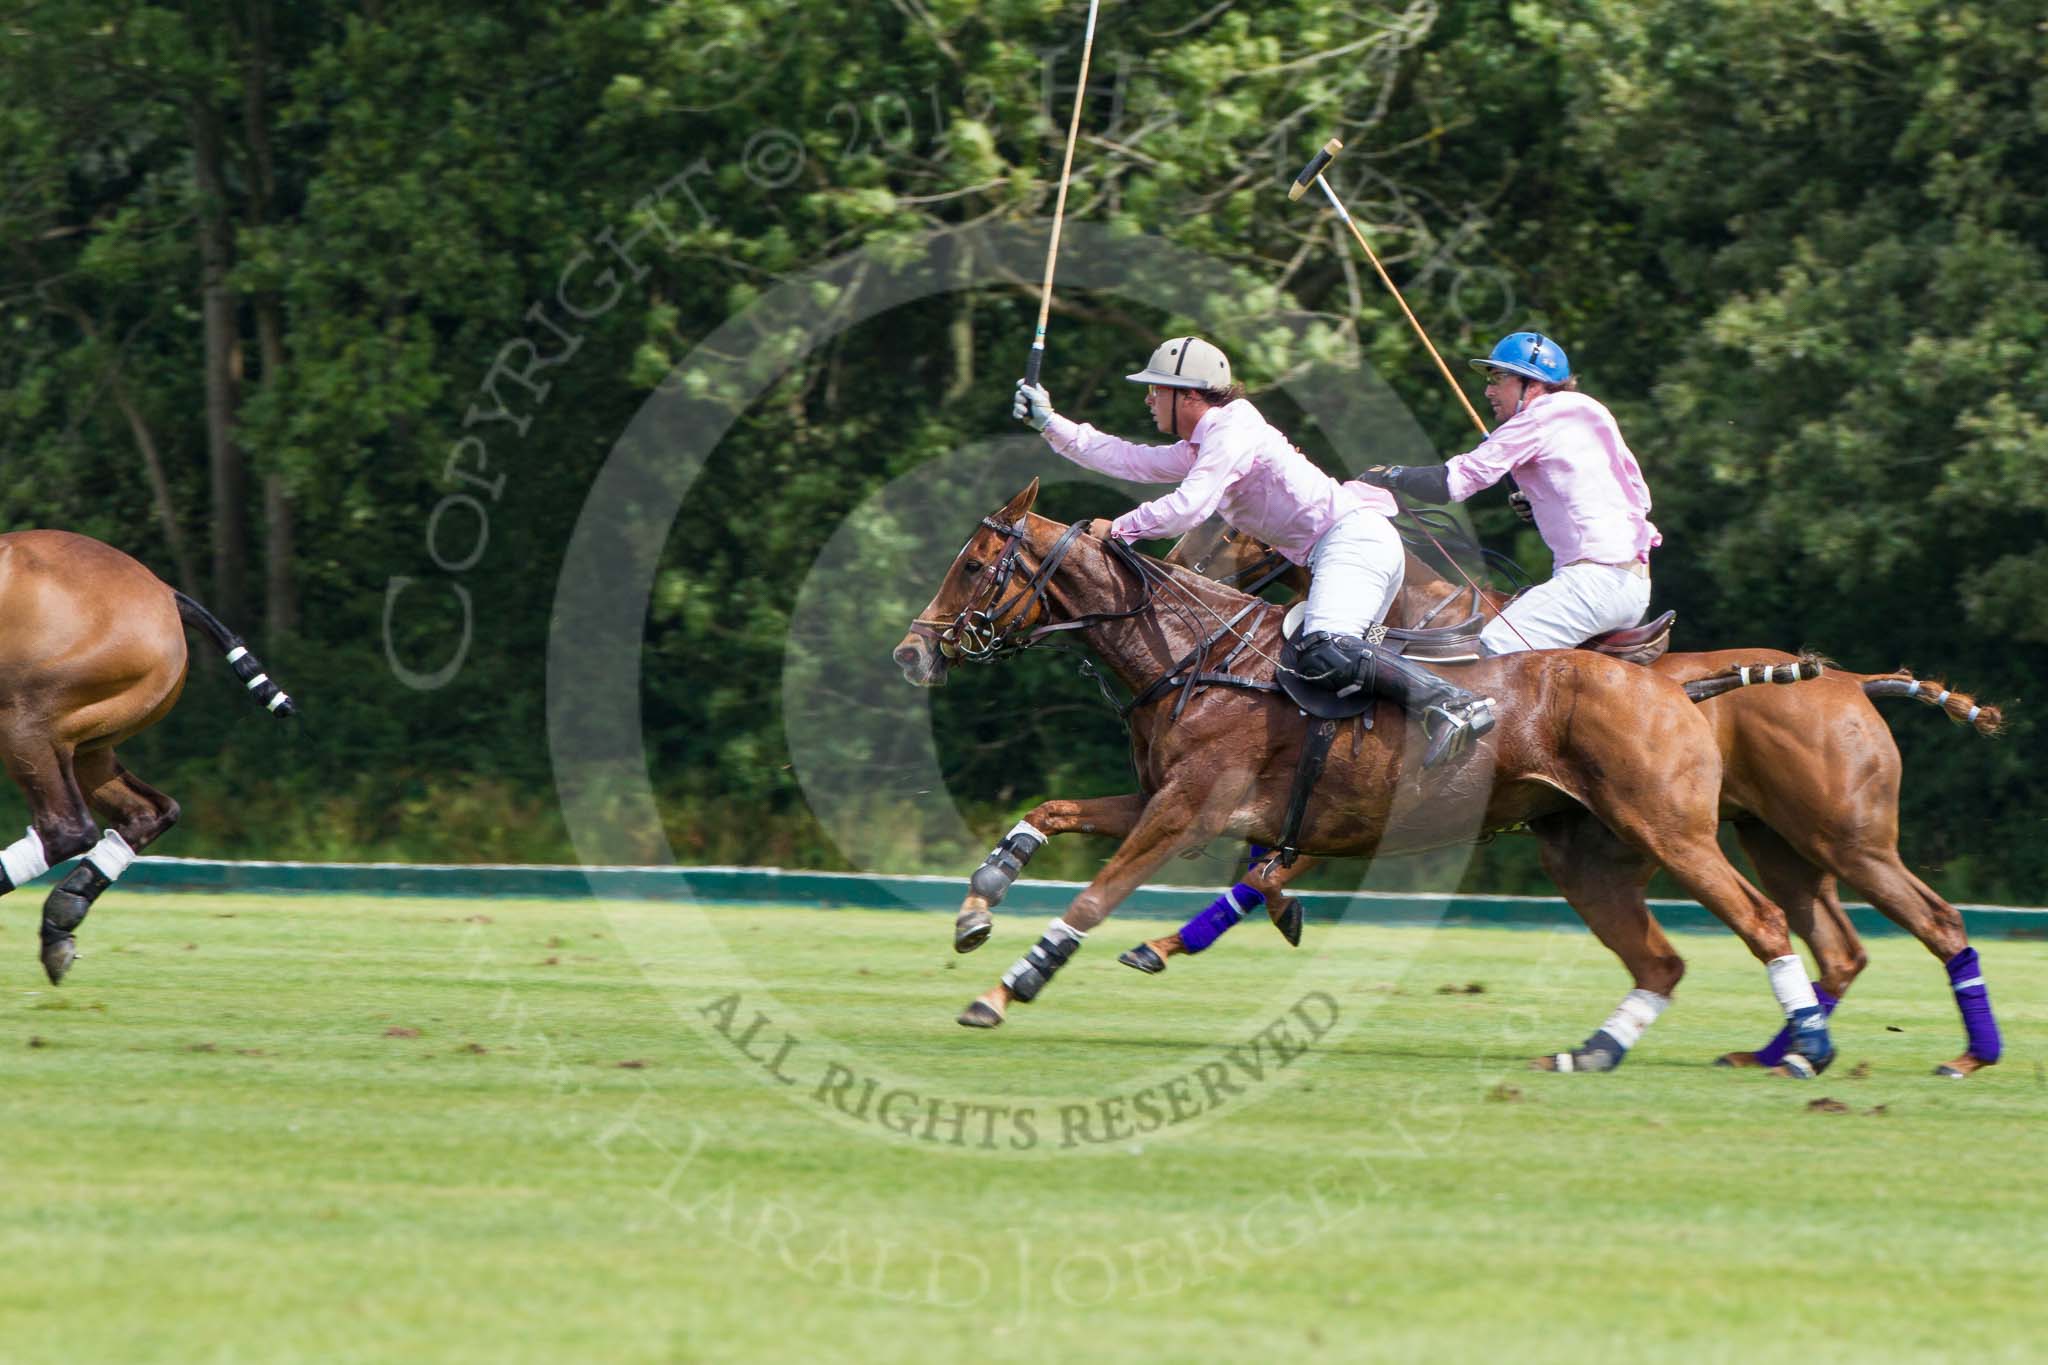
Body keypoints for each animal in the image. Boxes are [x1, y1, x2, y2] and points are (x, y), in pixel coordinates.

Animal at [0, 532, 294, 982]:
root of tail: (164, 592)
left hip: (27, 720)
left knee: (67, 828)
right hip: (89, 744)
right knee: (151, 811)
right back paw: (63, 917)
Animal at [897, 485, 1843, 1072]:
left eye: (974, 566)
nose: (912, 652)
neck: (1195, 653)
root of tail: (1674, 684)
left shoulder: (1188, 810)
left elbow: (1097, 897)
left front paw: (1007, 986)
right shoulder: (1162, 794)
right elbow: (1050, 810)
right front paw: (978, 902)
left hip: (1668, 828)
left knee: (1763, 920)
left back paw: (1804, 1050)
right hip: (1585, 855)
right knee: (1662, 958)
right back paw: (1594, 1051)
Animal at [1138, 523, 2015, 1080]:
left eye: (1233, 522)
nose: (1172, 565)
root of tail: (1854, 679)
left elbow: (1272, 862)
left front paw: (1184, 935)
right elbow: (1270, 857)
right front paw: (1189, 933)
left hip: (1845, 837)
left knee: (1930, 920)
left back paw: (1960, 1054)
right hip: (1780, 843)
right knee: (1836, 945)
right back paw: (1780, 1049)